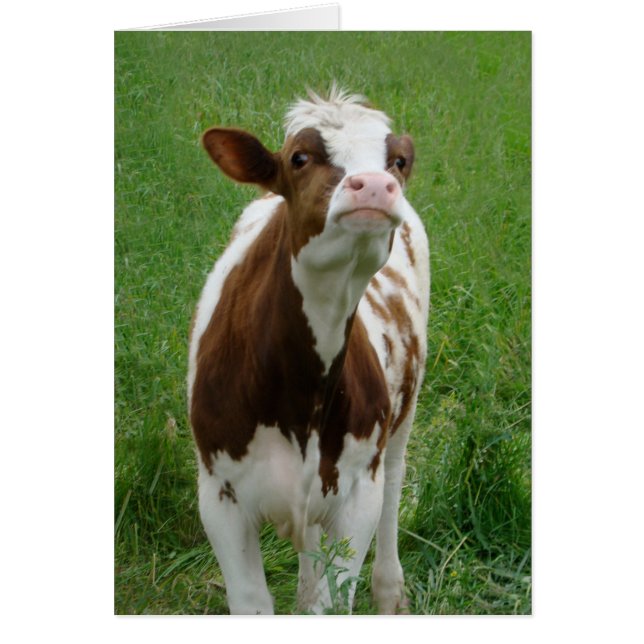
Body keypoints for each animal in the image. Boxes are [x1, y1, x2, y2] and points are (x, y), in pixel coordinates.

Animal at [187, 87, 430, 614]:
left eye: (398, 160)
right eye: (299, 158)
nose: (375, 185)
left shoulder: (358, 494)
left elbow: (332, 602)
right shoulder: (219, 496)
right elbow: (254, 602)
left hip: (404, 414)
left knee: (395, 481)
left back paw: (390, 590)